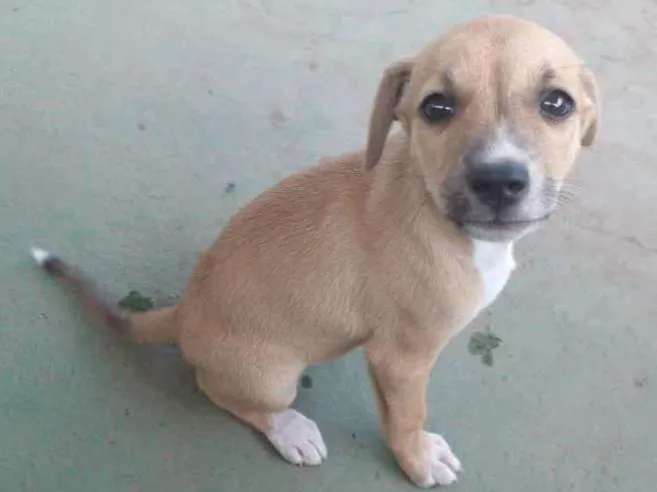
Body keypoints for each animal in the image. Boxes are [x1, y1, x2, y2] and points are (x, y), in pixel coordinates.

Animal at [34, 15, 600, 488]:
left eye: (557, 103)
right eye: (436, 107)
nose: (499, 181)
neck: (437, 211)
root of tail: (184, 312)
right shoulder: (402, 358)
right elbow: (408, 417)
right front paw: (417, 460)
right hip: (272, 377)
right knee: (215, 389)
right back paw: (289, 430)